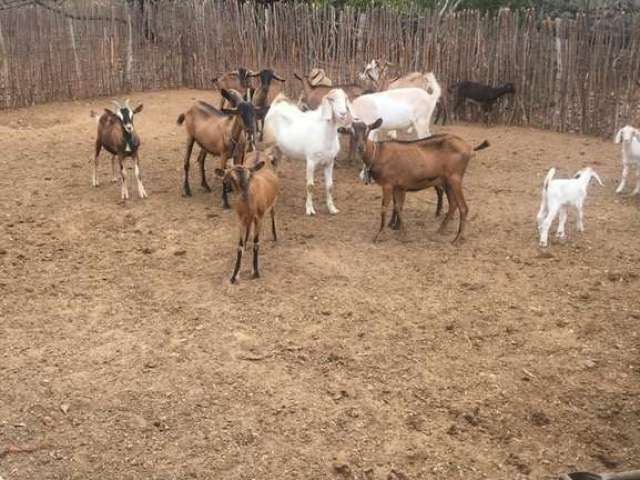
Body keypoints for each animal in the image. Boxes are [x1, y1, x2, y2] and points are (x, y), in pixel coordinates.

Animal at [215, 152, 278, 284]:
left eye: (249, 177)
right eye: (232, 178)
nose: (244, 195)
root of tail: (259, 152)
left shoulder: (259, 217)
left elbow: (256, 243)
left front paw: (256, 272)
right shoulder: (241, 219)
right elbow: (239, 247)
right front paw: (234, 276)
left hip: (273, 202)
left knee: (272, 213)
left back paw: (275, 235)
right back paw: (246, 242)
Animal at [264, 88, 356, 216]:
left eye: (345, 99)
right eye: (332, 99)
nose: (343, 113)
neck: (324, 133)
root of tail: (277, 104)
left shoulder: (330, 162)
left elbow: (330, 186)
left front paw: (332, 208)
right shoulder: (311, 161)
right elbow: (310, 186)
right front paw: (309, 209)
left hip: (280, 149)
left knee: (275, 166)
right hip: (268, 145)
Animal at [348, 118, 488, 242]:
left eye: (368, 130)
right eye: (351, 131)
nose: (361, 147)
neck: (378, 154)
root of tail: (469, 148)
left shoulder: (388, 184)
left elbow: (384, 208)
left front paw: (380, 234)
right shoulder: (398, 185)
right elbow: (398, 207)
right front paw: (403, 233)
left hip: (455, 177)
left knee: (463, 207)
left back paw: (457, 239)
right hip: (447, 180)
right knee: (453, 204)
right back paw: (440, 230)